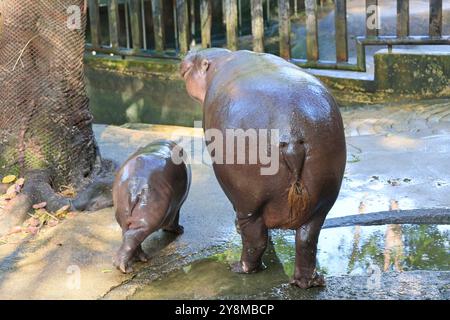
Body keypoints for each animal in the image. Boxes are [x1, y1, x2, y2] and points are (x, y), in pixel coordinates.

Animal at [113, 140, 191, 272]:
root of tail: (134, 187)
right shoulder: (177, 205)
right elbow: (175, 218)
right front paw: (180, 229)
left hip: (124, 217)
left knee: (128, 236)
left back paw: (139, 259)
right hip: (147, 220)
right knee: (132, 238)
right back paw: (127, 268)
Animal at [181, 48, 346, 290]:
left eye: (197, 58)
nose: (188, 51)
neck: (221, 60)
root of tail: (292, 135)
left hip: (249, 199)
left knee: (255, 239)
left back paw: (240, 268)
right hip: (323, 199)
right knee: (307, 240)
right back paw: (309, 281)